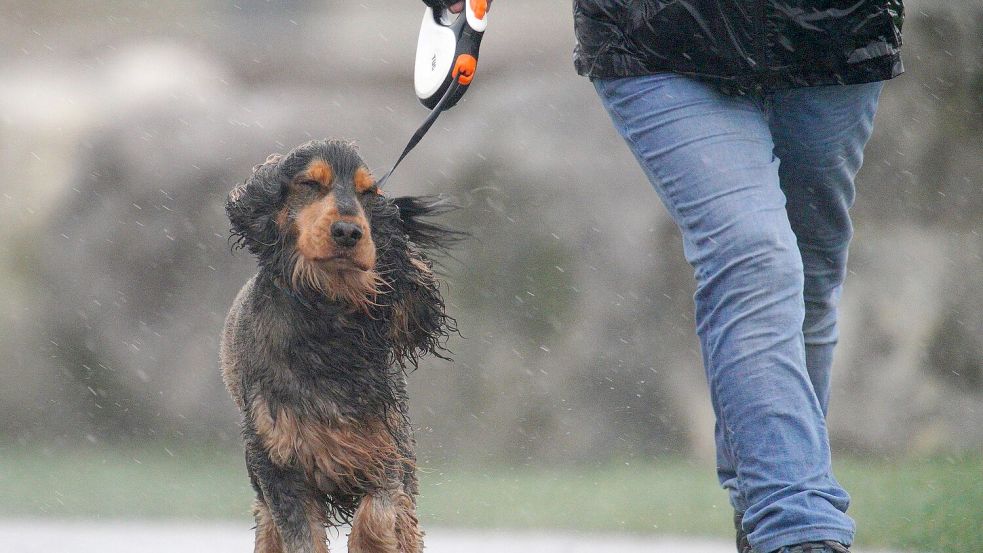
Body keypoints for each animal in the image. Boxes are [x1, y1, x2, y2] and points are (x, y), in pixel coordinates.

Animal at [221, 139, 456, 552]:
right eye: (310, 184)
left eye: (368, 192)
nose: (348, 231)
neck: (326, 311)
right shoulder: (279, 465)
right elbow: (301, 536)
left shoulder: (384, 449)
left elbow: (377, 516)